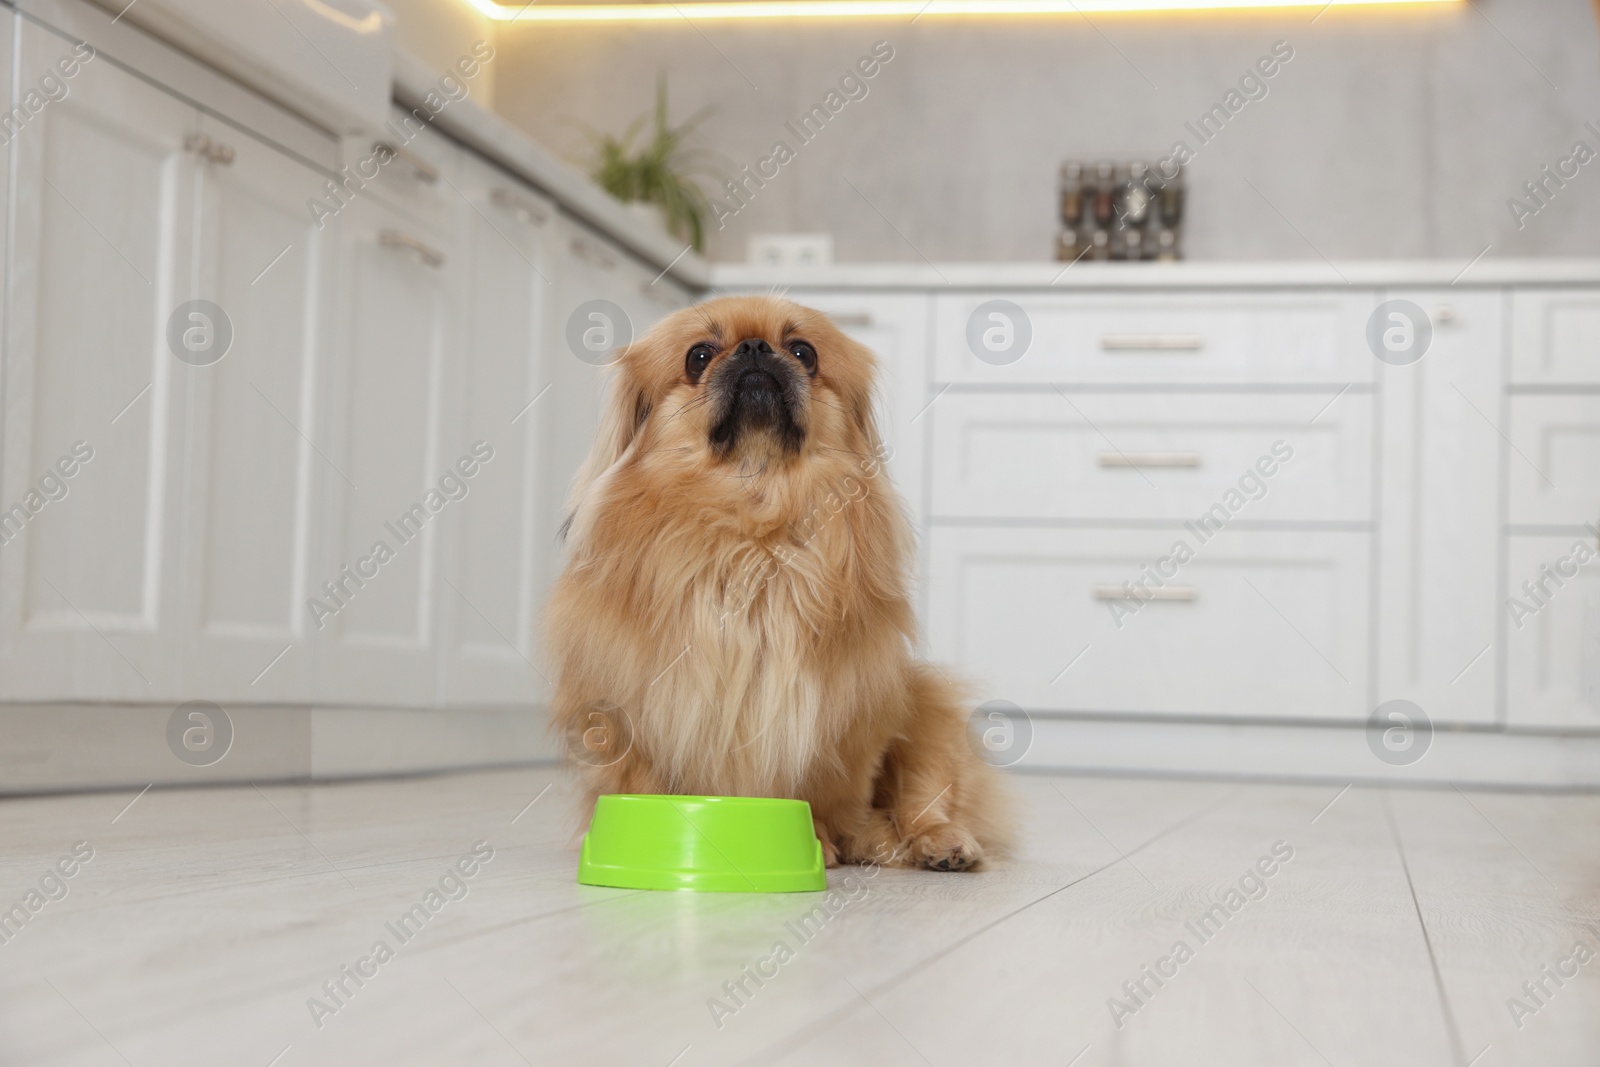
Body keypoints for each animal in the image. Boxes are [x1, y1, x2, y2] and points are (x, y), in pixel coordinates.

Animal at [544, 292, 1004, 870]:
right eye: (699, 356)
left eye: (804, 352)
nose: (755, 348)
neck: (752, 520)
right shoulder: (629, 711)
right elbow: (642, 778)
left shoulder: (839, 715)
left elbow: (826, 789)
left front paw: (821, 840)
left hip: (926, 717)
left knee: (925, 802)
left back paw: (940, 844)